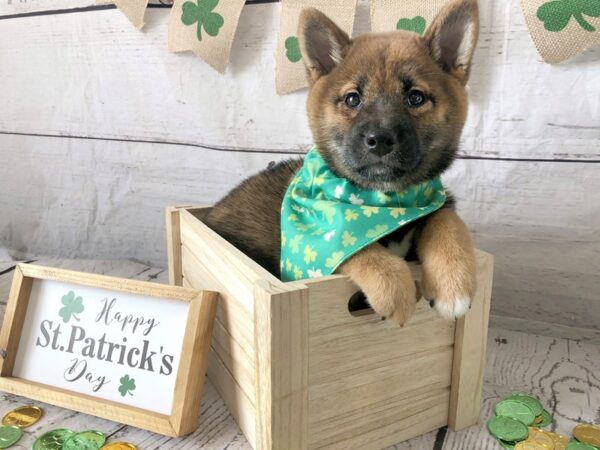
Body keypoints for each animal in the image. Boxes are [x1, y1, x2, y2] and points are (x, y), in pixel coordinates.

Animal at [206, 0, 478, 326]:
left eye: (415, 98)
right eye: (352, 99)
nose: (380, 139)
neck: (385, 201)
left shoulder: (438, 203)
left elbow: (446, 219)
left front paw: (454, 283)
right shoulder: (319, 241)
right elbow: (354, 247)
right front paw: (394, 287)